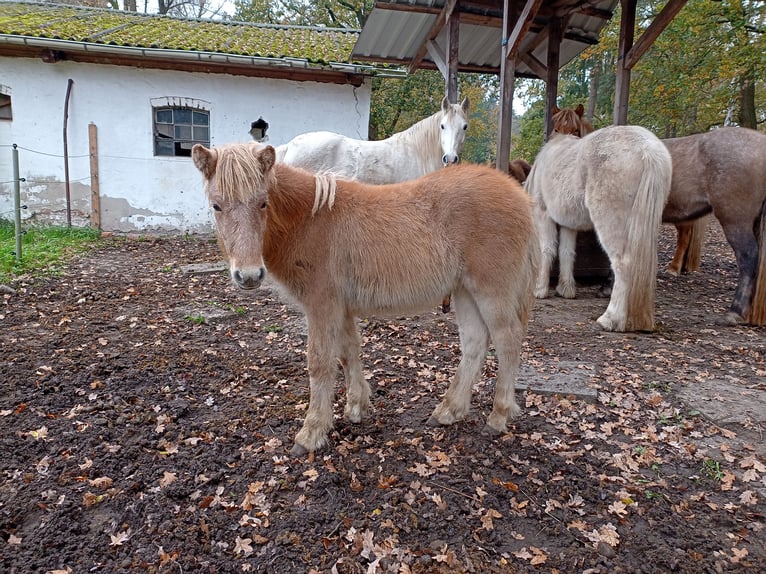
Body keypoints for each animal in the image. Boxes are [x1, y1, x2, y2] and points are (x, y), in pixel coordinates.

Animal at [192, 143, 540, 454]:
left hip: (491, 291)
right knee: (475, 344)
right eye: (217, 206)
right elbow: (349, 352)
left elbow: (320, 361)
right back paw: (448, 411)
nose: (249, 276)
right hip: (465, 291)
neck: (310, 219)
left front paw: (312, 432)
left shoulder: (323, 305)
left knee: (507, 342)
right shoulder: (342, 307)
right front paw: (356, 407)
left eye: (263, 203)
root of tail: (520, 197)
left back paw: (497, 417)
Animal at [528, 108, 672, 332]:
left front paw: (539, 289)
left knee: (623, 264)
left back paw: (611, 318)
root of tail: (647, 149)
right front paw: (565, 289)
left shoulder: (544, 214)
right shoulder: (568, 222)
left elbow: (547, 249)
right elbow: (566, 252)